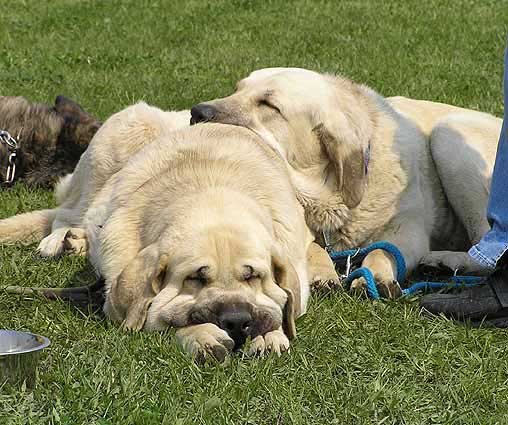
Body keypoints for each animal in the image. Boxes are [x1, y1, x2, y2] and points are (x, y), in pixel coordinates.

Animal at [190, 68, 500, 296]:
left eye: (269, 105)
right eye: (236, 89)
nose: (197, 112)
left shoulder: (409, 229)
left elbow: (382, 250)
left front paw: (375, 275)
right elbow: (311, 247)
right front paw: (321, 272)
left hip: (448, 135)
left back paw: (447, 262)